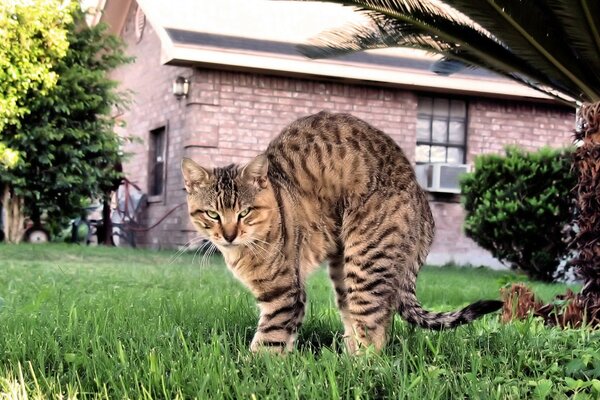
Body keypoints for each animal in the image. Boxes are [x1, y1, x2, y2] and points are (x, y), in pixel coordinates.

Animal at [182, 111, 502, 352]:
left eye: (244, 212)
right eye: (212, 214)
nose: (229, 235)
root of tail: (423, 198)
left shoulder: (285, 295)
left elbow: (269, 342)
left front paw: (254, 372)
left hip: (366, 262)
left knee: (375, 331)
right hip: (344, 272)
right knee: (365, 323)